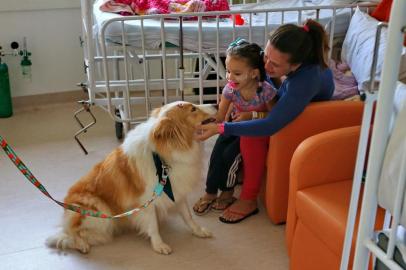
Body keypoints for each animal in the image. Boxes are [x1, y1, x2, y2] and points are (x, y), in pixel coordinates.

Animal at [46, 101, 217, 255]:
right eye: (193, 109)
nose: (215, 104)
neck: (162, 158)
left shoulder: (177, 191)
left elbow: (188, 216)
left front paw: (199, 231)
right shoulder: (146, 202)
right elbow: (153, 226)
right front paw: (159, 245)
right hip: (98, 209)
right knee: (71, 234)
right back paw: (82, 245)